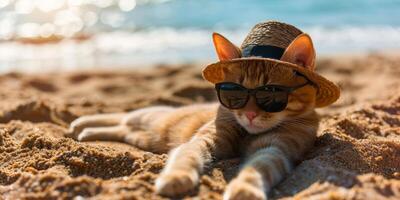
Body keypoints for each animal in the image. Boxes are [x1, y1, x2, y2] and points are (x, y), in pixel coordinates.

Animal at [69, 25, 322, 199]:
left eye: (270, 93)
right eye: (235, 92)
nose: (250, 115)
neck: (247, 133)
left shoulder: (276, 148)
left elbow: (259, 168)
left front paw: (245, 189)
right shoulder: (204, 139)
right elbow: (187, 155)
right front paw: (176, 177)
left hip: (140, 137)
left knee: (121, 128)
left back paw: (87, 132)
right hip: (148, 116)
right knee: (122, 116)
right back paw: (81, 122)